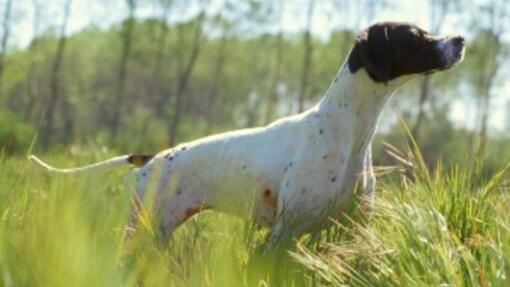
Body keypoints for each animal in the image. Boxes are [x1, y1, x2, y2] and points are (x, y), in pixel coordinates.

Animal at [29, 22, 464, 246]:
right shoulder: (282, 236)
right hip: (143, 233)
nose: (460, 39)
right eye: (417, 35)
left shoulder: (348, 233)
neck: (350, 132)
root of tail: (151, 158)